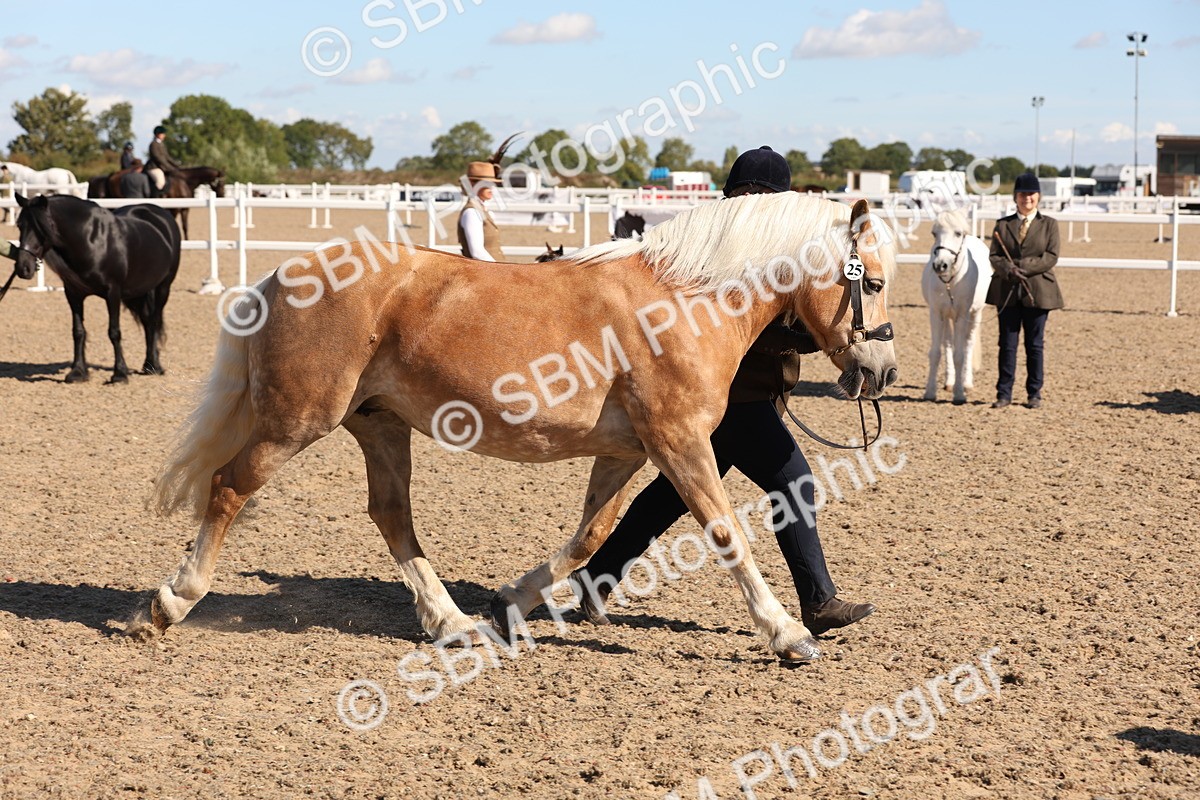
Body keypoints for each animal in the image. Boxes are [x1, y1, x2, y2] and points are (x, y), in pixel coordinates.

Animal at [12, 194, 182, 383]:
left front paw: (119, 374)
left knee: (153, 321)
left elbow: (114, 332)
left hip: (163, 287)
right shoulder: (73, 294)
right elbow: (78, 331)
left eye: (41, 228)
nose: (23, 268)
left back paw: (154, 366)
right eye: (20, 225)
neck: (92, 240)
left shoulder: (113, 293)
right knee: (147, 321)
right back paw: (148, 365)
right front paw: (77, 372)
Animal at [126, 194, 898, 663]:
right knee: (229, 487)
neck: (686, 299)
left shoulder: (629, 451)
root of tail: (281, 276)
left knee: (392, 515)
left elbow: (592, 534)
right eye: (875, 282)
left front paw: (512, 601)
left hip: (380, 426)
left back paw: (453, 623)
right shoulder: (679, 442)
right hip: (296, 421)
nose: (883, 370)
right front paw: (789, 634)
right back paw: (168, 603)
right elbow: (725, 532)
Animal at [921, 208, 992, 404]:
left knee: (967, 345)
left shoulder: (962, 315)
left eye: (958, 233)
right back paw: (949, 381)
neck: (950, 282)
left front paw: (959, 394)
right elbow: (936, 352)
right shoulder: (936, 314)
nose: (940, 265)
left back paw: (966, 382)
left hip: (974, 316)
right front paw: (930, 392)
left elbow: (960, 354)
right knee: (947, 344)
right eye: (934, 233)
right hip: (947, 318)